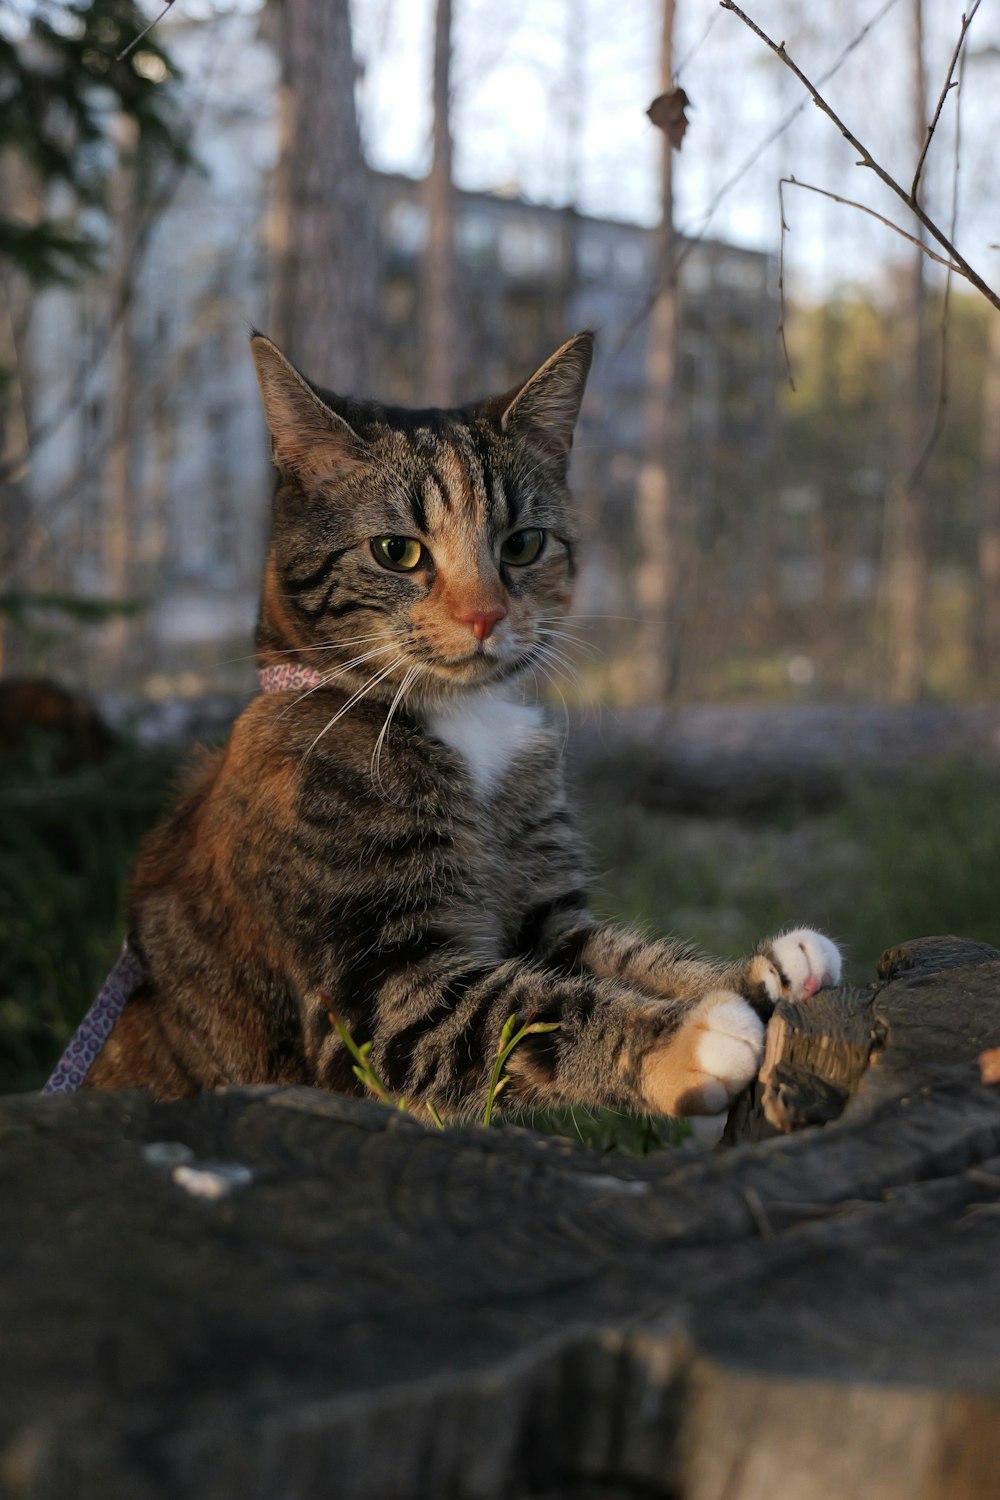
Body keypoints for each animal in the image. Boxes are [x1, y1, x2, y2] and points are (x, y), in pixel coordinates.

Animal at [83, 334, 839, 1122]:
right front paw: (687, 1038)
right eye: (397, 551)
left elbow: (630, 956)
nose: (485, 616)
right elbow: (529, 1012)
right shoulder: (375, 987)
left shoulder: (544, 914)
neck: (462, 721)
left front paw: (760, 971)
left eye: (522, 545)